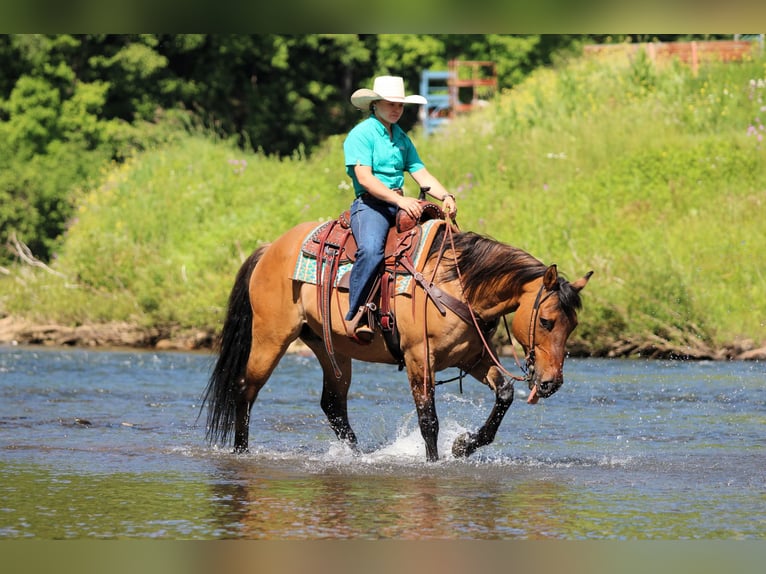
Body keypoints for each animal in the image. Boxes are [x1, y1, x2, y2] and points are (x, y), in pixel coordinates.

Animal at [201, 218, 592, 462]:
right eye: (546, 321)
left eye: (572, 325)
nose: (550, 382)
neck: (457, 284)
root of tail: (269, 248)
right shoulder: (420, 359)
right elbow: (428, 420)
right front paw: (435, 462)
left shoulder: (473, 358)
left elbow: (505, 394)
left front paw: (463, 446)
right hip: (271, 337)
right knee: (245, 389)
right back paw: (241, 452)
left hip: (330, 349)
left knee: (333, 405)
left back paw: (360, 457)